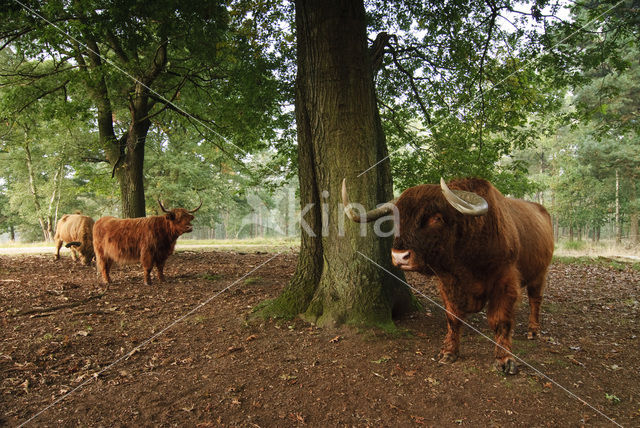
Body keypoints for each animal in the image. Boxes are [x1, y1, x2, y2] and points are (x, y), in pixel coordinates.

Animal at [344, 177, 556, 374]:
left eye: (436, 218)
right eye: (397, 219)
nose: (399, 256)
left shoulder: (505, 282)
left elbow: (500, 321)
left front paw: (505, 360)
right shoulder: (448, 284)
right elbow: (453, 318)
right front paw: (449, 352)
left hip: (540, 273)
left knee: (535, 300)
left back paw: (533, 331)